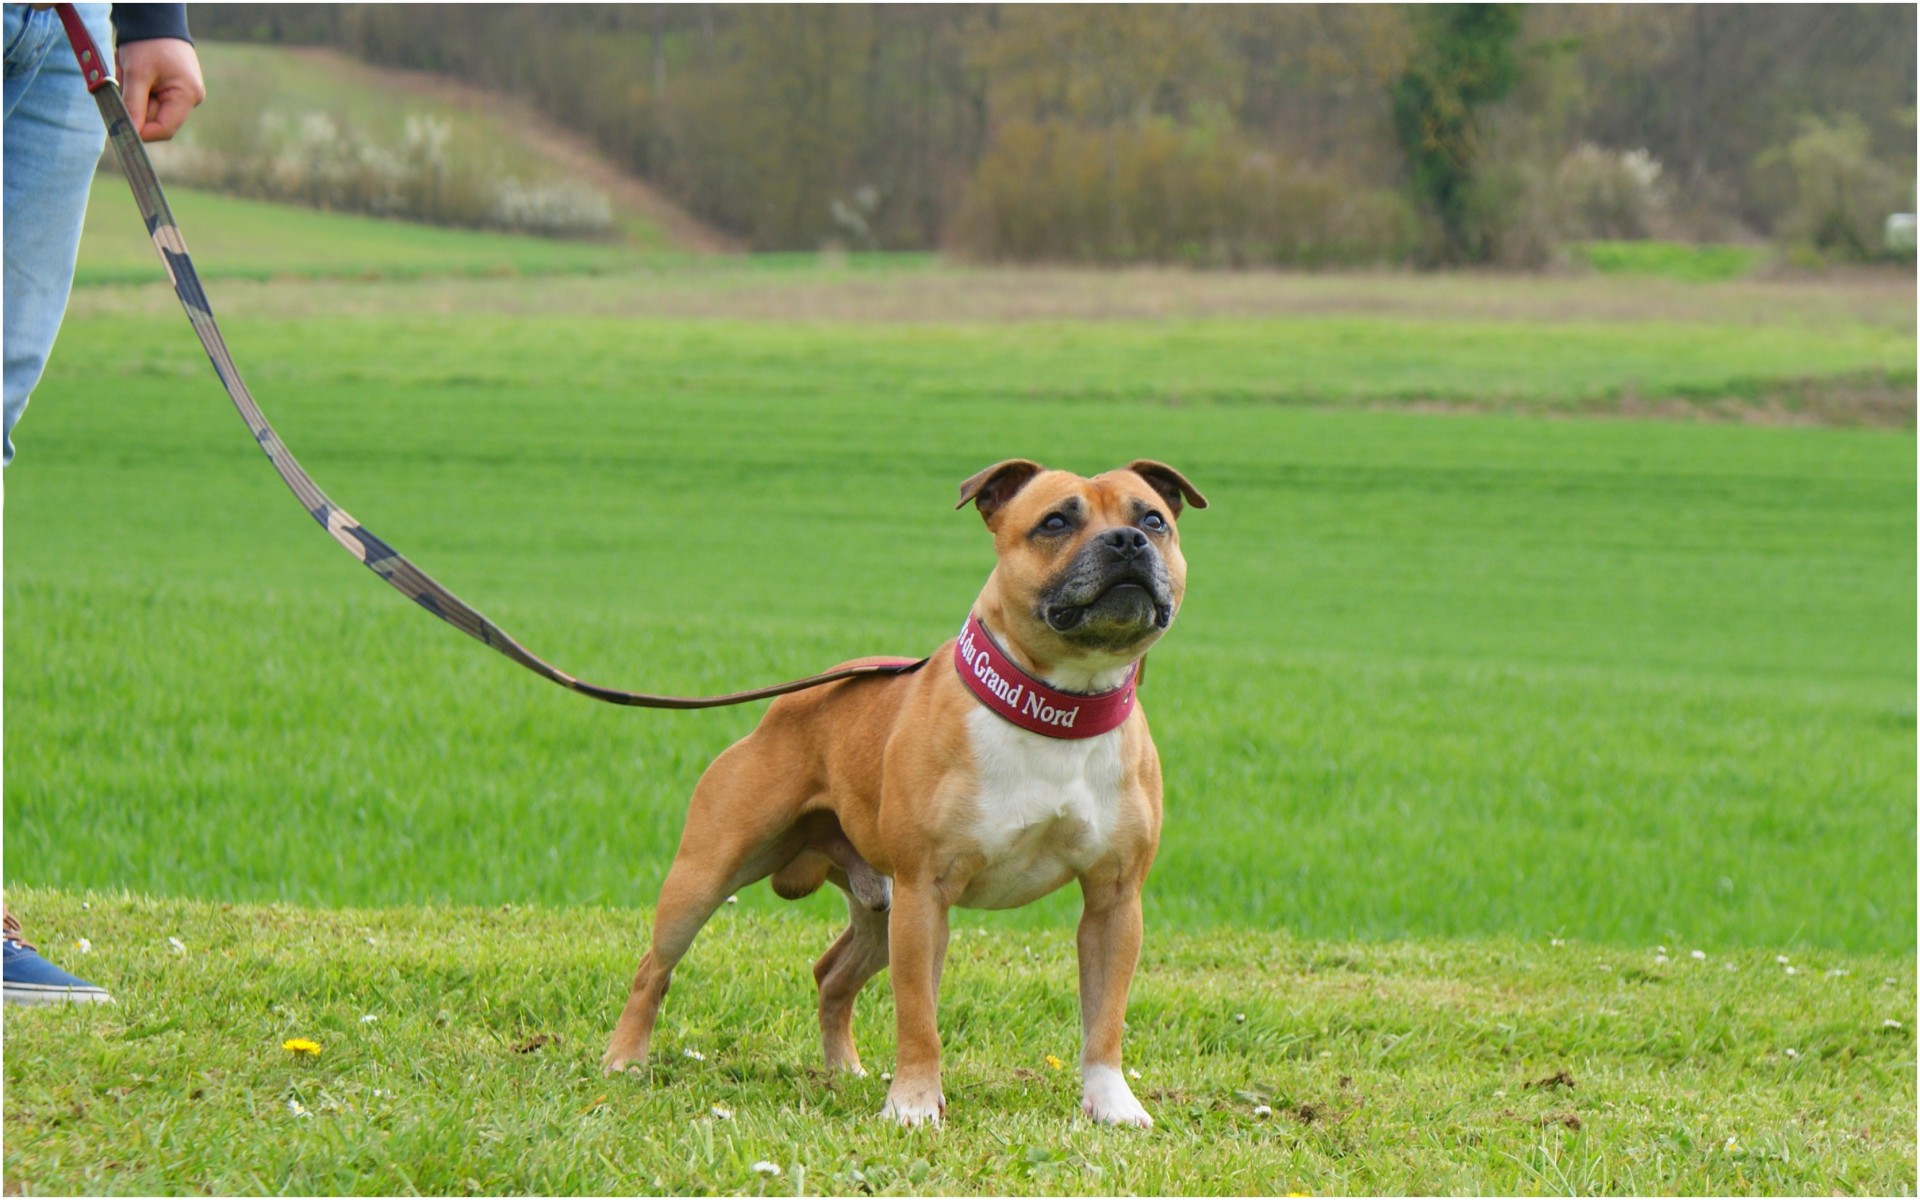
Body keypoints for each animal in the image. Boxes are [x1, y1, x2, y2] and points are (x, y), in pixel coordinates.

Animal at [599, 458, 1205, 1121]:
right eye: (1054, 523)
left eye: (1153, 518)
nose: (1127, 541)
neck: (1055, 710)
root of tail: (788, 705)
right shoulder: (924, 893)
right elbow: (918, 1016)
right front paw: (914, 1105)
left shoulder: (1114, 900)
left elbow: (1105, 1018)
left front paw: (1113, 1105)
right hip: (707, 875)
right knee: (653, 968)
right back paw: (624, 1060)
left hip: (877, 909)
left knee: (831, 975)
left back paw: (844, 1069)